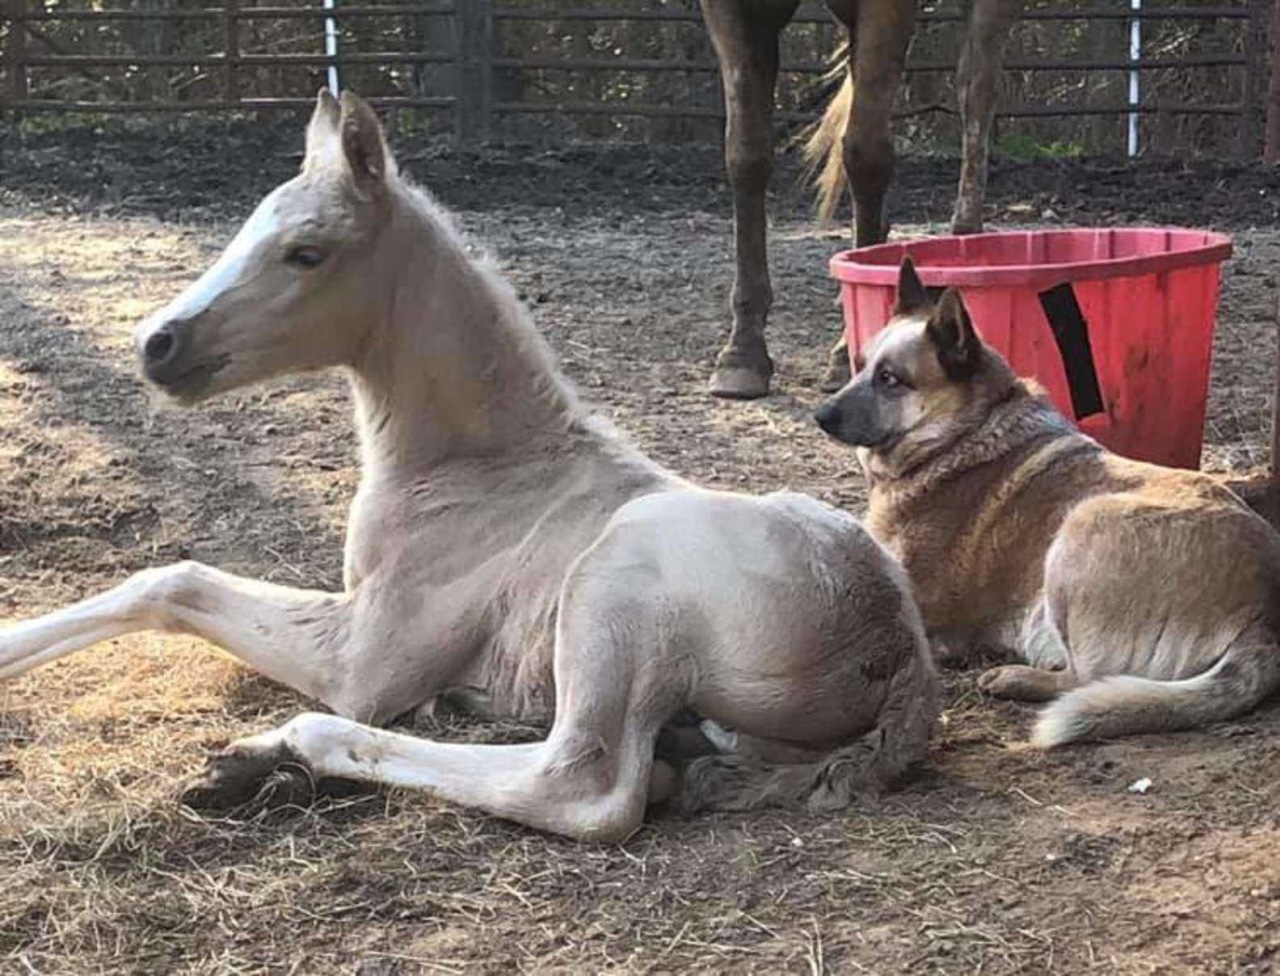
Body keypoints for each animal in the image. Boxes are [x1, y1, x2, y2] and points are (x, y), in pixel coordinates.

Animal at [2, 90, 942, 835]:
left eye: (306, 251)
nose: (156, 344)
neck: (476, 465)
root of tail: (900, 652)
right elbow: (168, 582)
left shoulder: (367, 656)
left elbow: (174, 582)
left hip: (619, 580)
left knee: (586, 788)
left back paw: (276, 753)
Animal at [814, 258, 1280, 742]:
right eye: (860, 366)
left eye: (890, 379)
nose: (819, 415)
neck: (962, 433)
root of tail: (1263, 618)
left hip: (1082, 524)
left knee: (1086, 677)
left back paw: (1016, 678)